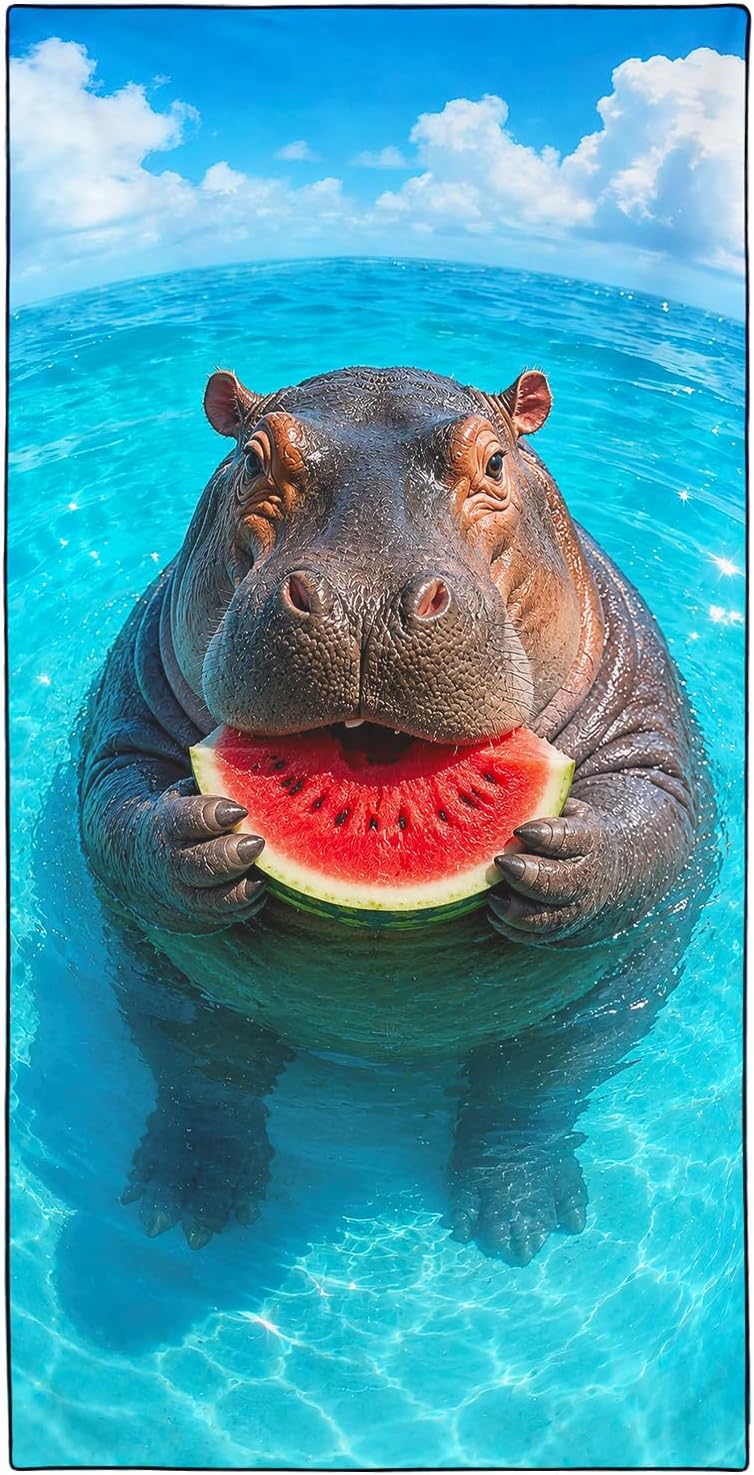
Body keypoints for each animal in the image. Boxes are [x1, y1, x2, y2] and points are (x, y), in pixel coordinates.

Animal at [78, 365, 705, 1264]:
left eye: (496, 462)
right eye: (252, 458)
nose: (362, 601)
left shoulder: (648, 729)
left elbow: (654, 814)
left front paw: (564, 858)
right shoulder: (127, 714)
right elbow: (115, 805)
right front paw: (193, 839)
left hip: (606, 1005)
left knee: (536, 1088)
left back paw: (518, 1215)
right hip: (160, 985)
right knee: (205, 1072)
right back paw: (191, 1195)